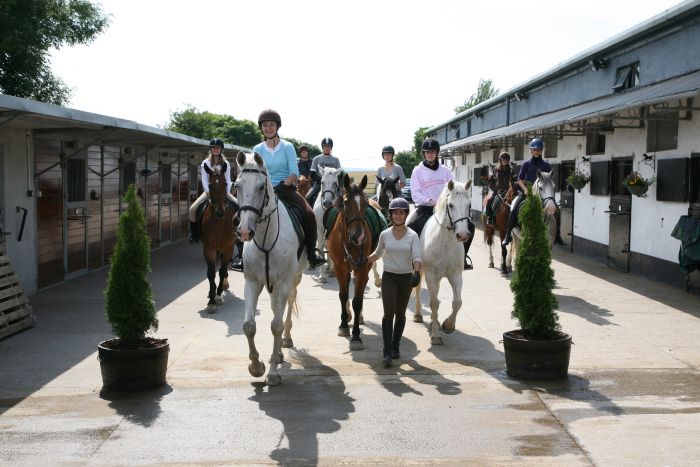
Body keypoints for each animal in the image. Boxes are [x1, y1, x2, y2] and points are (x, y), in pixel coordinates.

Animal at [237, 152, 304, 386]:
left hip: (293, 279)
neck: (266, 237)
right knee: (277, 309)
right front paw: (256, 367)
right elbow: (248, 325)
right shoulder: (252, 282)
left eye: (260, 187)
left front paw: (273, 372)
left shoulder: (283, 282)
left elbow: (276, 326)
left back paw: (286, 340)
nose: (245, 231)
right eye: (237, 185)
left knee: (286, 308)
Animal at [326, 175, 372, 352]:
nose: (358, 237)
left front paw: (356, 336)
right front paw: (344, 325)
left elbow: (357, 301)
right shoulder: (340, 268)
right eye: (345, 203)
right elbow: (343, 295)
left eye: (365, 203)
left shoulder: (362, 268)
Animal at [412, 181, 474, 346]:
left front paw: (448, 325)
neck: (445, 241)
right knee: (418, 290)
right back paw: (418, 316)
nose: (462, 235)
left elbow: (457, 302)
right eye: (451, 205)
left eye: (469, 205)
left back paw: (437, 322)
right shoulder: (430, 274)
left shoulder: (456, 275)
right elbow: (433, 303)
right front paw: (435, 336)